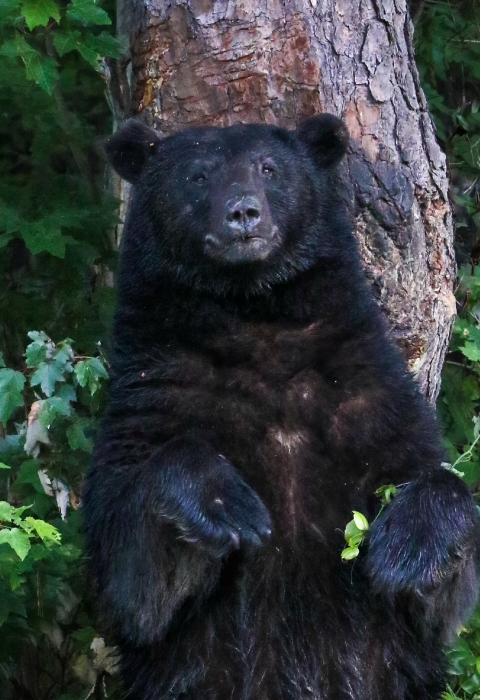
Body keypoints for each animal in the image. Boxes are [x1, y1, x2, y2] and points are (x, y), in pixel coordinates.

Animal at [83, 114, 480, 700]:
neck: (255, 316)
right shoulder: (153, 391)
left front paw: (408, 547)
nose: (243, 212)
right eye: (197, 175)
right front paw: (226, 503)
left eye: (269, 168)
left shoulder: (366, 389)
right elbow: (133, 572)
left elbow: (442, 574)